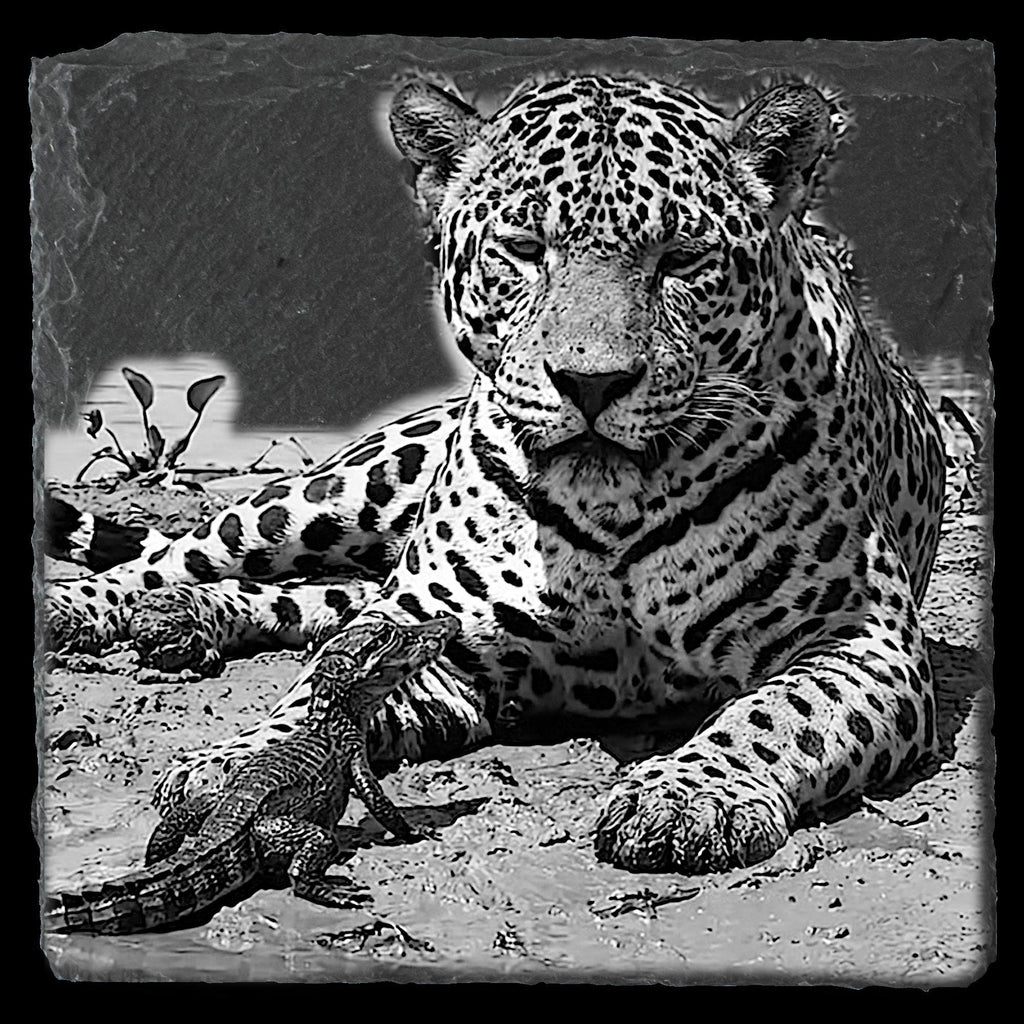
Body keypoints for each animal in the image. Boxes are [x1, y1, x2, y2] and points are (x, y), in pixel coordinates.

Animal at [44, 72, 947, 875]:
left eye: (683, 258)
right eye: (525, 250)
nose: (592, 382)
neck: (616, 504)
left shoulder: (860, 639)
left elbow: (771, 713)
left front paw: (687, 796)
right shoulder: (440, 634)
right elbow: (319, 690)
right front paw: (245, 766)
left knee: (321, 600)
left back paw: (185, 619)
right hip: (349, 489)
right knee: (191, 551)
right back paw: (96, 608)